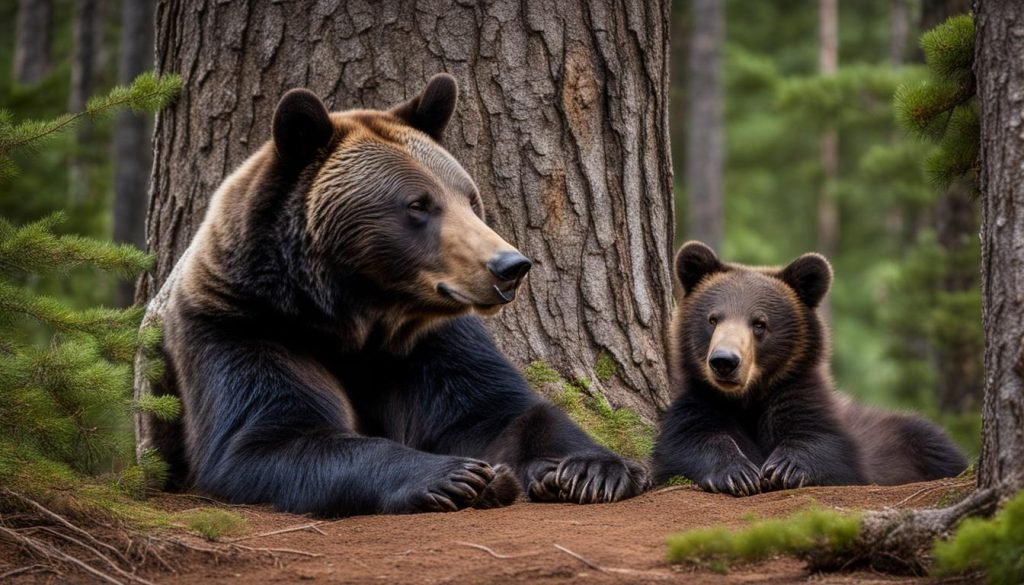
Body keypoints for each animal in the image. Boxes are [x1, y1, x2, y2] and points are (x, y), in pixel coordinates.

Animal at [155, 74, 649, 517]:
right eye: (418, 204)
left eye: (470, 199)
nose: (511, 266)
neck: (356, 312)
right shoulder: (248, 324)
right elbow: (271, 436)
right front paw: (457, 475)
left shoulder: (430, 340)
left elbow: (502, 413)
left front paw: (593, 470)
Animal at [651, 241, 967, 496]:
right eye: (713, 319)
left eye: (759, 323)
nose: (724, 361)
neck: (747, 399)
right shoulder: (700, 401)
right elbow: (689, 439)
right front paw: (738, 473)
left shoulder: (801, 395)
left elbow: (824, 442)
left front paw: (784, 467)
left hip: (910, 435)